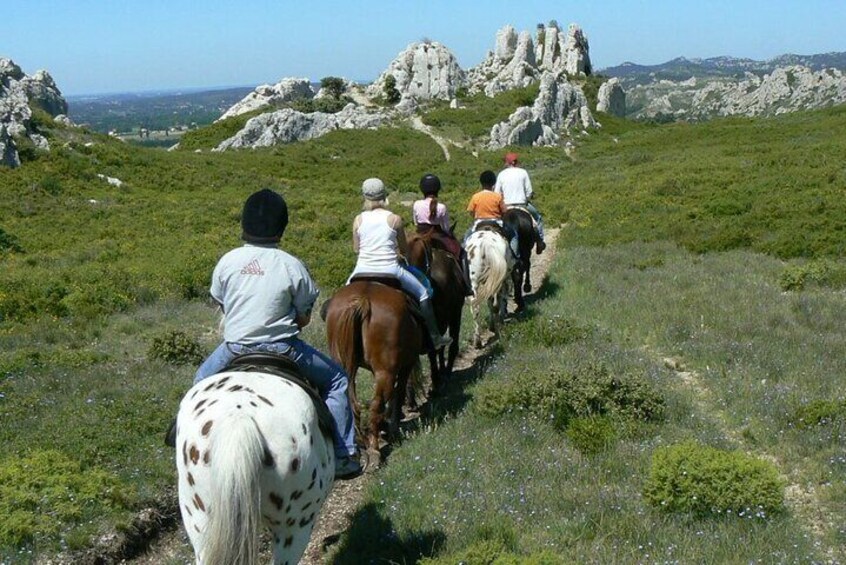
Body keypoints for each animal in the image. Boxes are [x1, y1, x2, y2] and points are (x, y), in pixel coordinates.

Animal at [326, 280, 430, 470]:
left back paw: (361, 443)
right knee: (377, 404)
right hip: (386, 372)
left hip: (344, 367)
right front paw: (392, 428)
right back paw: (375, 449)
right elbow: (399, 394)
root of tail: (362, 300)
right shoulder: (405, 366)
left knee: (352, 403)